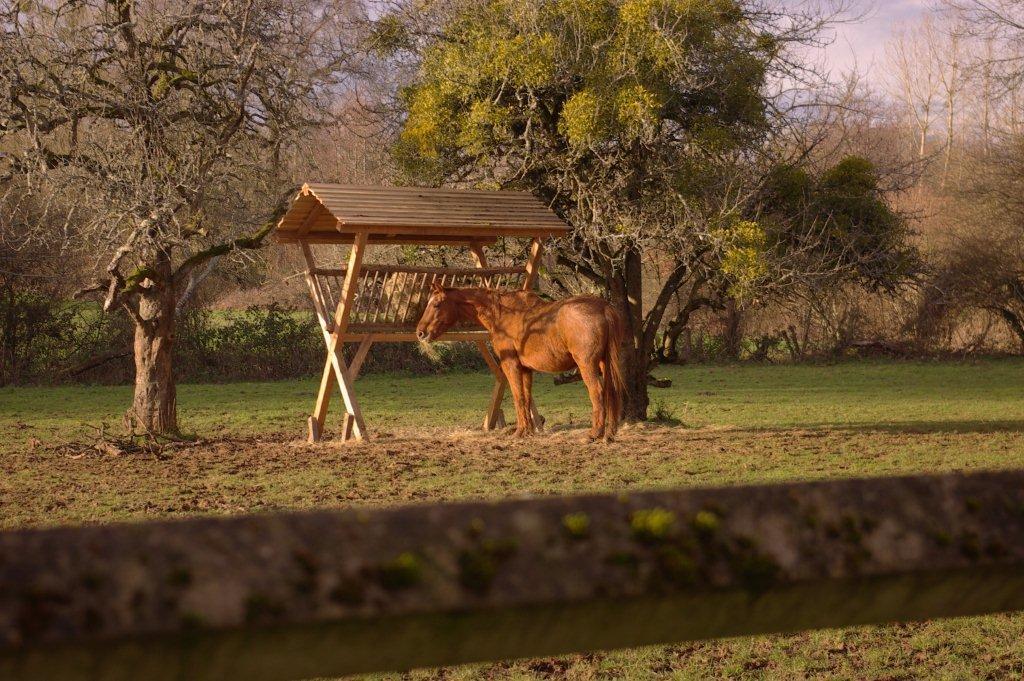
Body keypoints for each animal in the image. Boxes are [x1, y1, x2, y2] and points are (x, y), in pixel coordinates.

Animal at [416, 283, 626, 440]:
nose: (420, 332)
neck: (502, 314)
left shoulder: (511, 365)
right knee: (611, 391)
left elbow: (518, 397)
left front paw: (520, 431)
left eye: (436, 304)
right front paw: (528, 431)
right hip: (604, 364)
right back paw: (609, 432)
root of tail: (603, 307)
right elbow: (525, 396)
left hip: (587, 365)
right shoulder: (526, 369)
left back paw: (595, 433)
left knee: (597, 392)